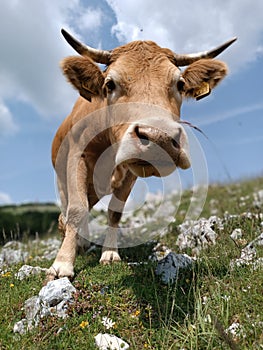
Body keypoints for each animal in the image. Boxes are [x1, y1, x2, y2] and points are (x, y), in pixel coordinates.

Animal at [47, 30, 237, 280]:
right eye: (110, 83)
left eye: (180, 83)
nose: (159, 138)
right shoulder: (78, 158)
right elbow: (76, 209)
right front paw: (62, 264)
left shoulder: (130, 173)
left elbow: (114, 212)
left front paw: (109, 253)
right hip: (62, 179)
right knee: (68, 210)